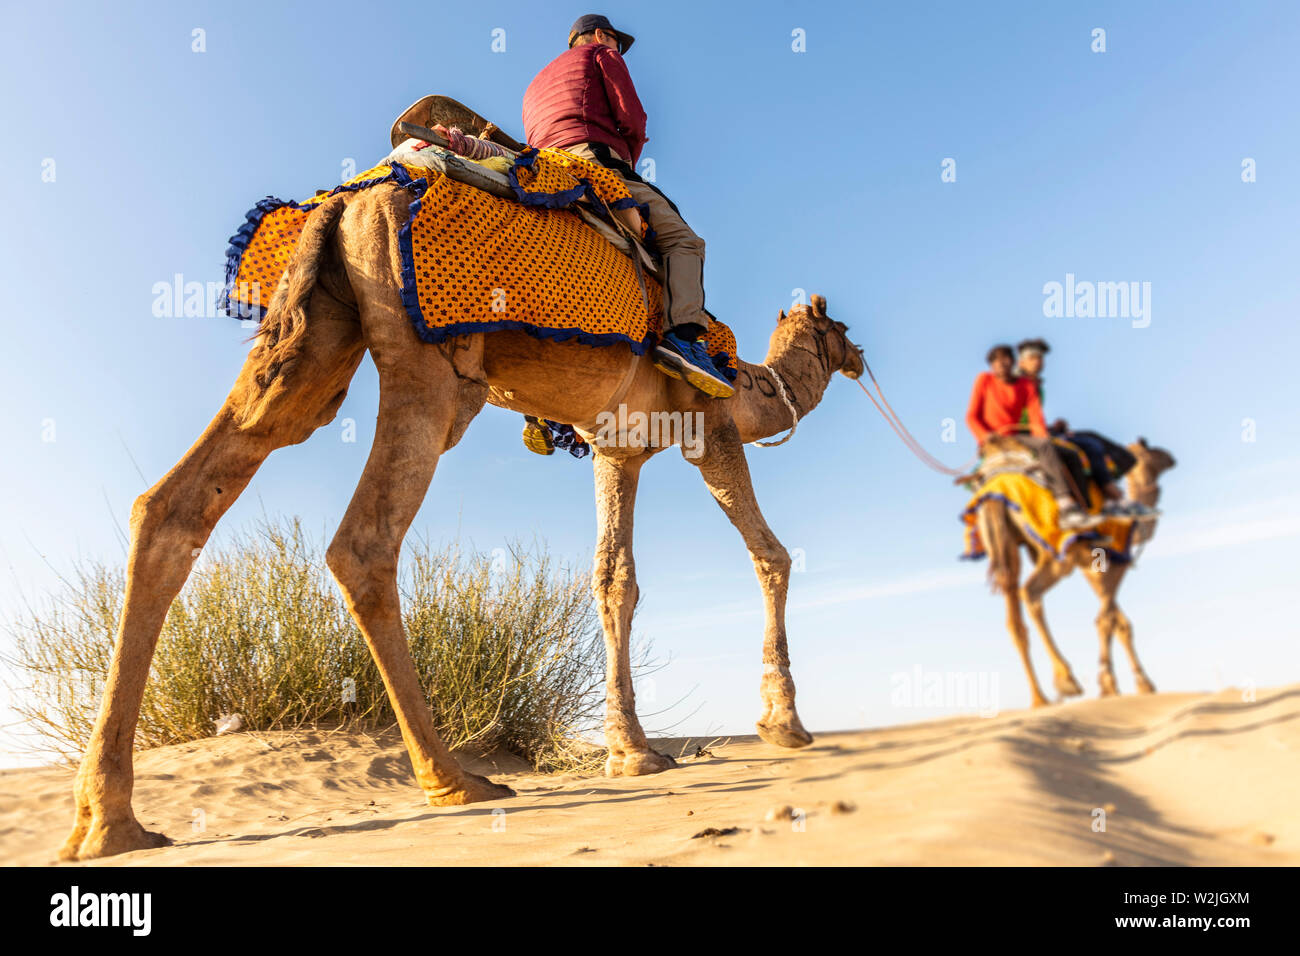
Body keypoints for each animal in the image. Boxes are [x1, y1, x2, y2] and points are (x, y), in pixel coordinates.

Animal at [65, 180, 868, 858]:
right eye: (841, 325)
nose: (860, 355)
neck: (751, 386)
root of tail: (345, 205)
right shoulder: (711, 426)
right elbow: (770, 555)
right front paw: (783, 725)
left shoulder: (619, 447)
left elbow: (616, 580)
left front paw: (632, 751)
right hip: (433, 368)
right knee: (363, 541)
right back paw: (454, 778)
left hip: (312, 346)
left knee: (171, 505)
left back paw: (109, 824)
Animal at [977, 437, 1180, 707]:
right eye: (1151, 450)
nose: (1171, 457)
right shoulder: (1113, 560)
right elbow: (1106, 619)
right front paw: (1111, 685)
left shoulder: (1091, 567)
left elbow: (1119, 622)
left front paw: (1139, 684)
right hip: (1058, 551)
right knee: (1030, 591)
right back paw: (1066, 681)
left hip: (1005, 548)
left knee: (1015, 618)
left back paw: (1041, 698)